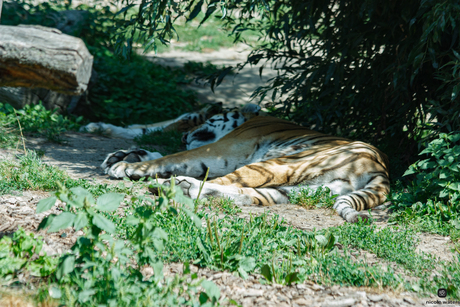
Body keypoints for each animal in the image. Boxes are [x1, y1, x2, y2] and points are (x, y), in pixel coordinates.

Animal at [99, 107, 390, 225]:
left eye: (205, 119)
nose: (184, 135)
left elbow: (171, 158)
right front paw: (124, 155)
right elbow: (162, 155)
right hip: (290, 190)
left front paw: (124, 166)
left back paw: (167, 185)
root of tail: (382, 170)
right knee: (239, 193)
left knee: (224, 182)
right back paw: (180, 186)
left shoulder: (219, 151)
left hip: (281, 163)